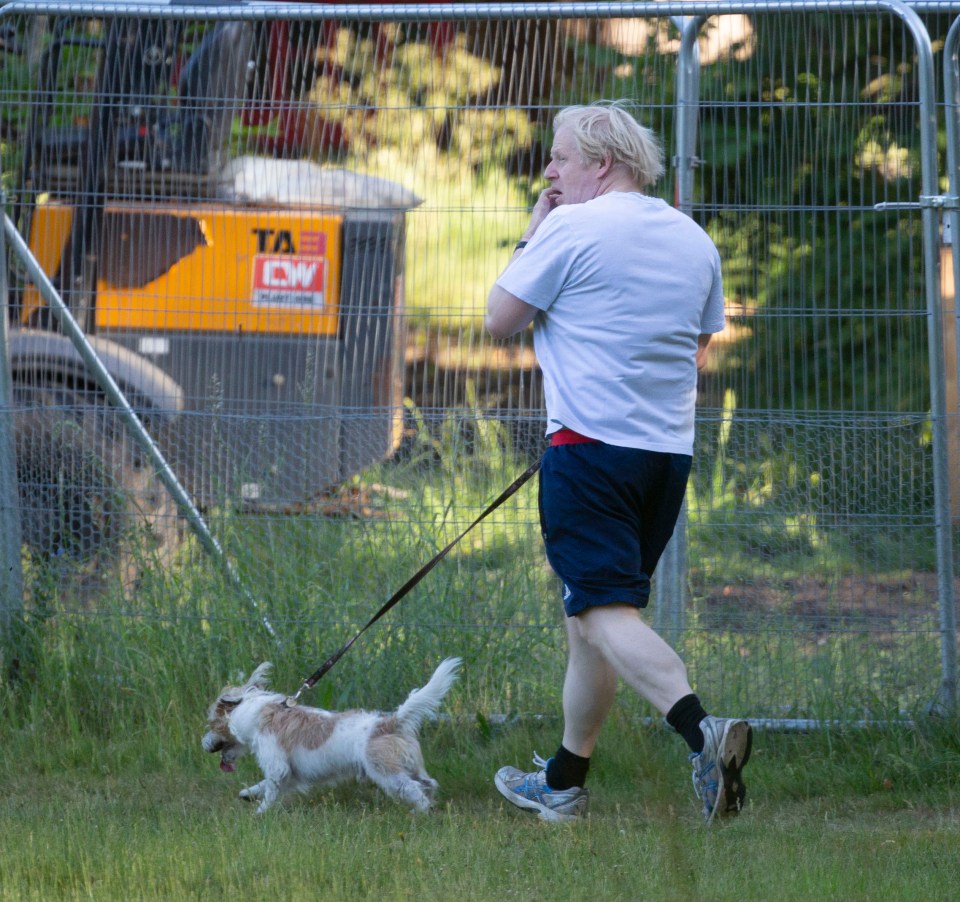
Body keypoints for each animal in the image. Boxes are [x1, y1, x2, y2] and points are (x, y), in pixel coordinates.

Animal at [202, 656, 462, 820]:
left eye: (212, 722)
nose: (204, 744)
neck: (255, 711)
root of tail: (390, 722)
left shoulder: (278, 767)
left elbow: (271, 789)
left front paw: (260, 813)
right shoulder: (291, 775)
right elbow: (265, 784)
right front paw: (248, 794)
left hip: (388, 774)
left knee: (413, 790)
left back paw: (421, 812)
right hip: (410, 766)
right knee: (429, 783)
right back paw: (430, 805)